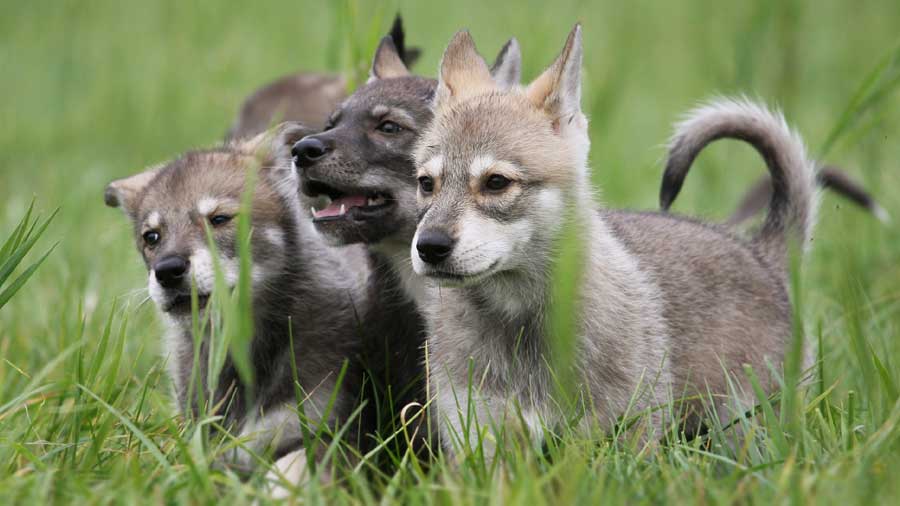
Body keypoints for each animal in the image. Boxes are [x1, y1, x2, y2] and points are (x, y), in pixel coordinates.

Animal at [412, 26, 820, 454]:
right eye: (426, 183)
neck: (519, 322)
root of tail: (762, 252)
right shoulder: (481, 438)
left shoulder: (618, 436)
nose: (430, 246)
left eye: (496, 182)